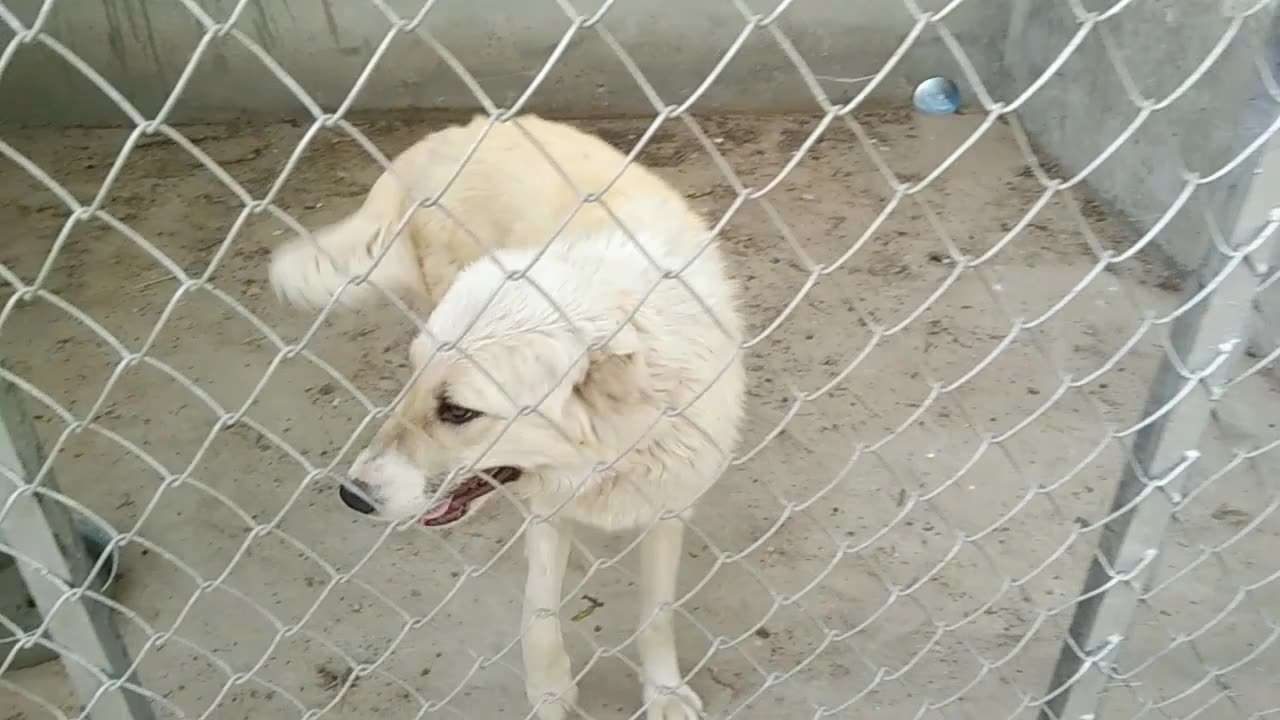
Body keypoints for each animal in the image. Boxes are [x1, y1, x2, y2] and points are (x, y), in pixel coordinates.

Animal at [272, 116, 747, 717]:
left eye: (457, 410)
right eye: (413, 376)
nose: (352, 496)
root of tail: (448, 134)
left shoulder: (669, 507)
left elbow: (656, 616)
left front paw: (663, 692)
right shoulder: (547, 512)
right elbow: (537, 616)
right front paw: (550, 693)